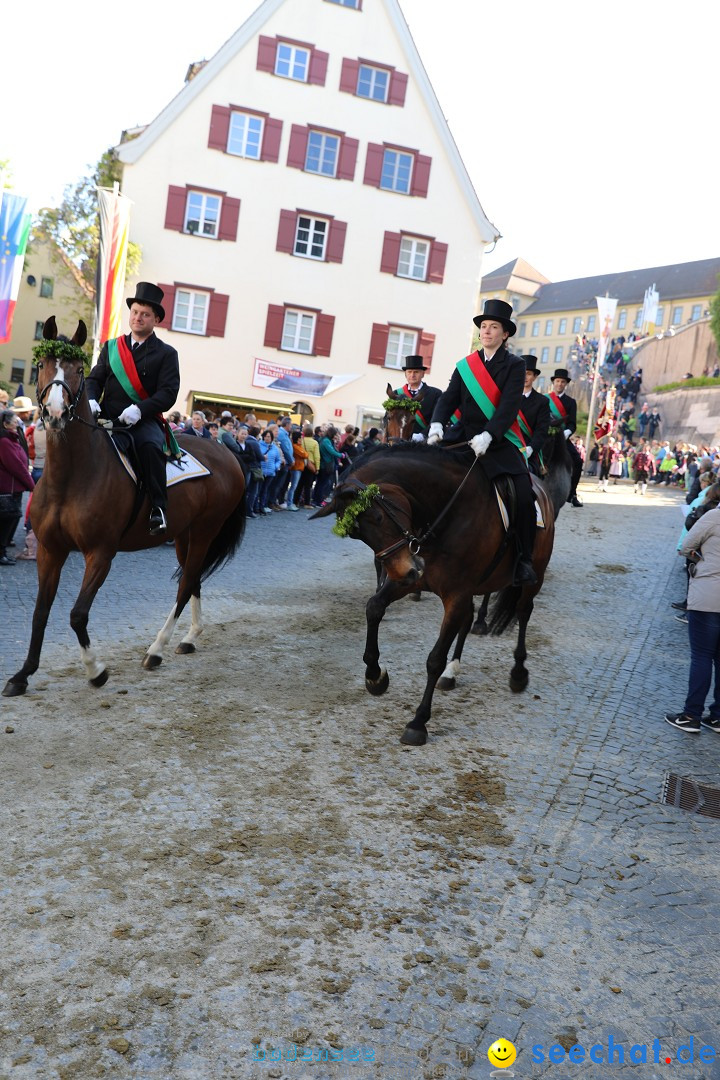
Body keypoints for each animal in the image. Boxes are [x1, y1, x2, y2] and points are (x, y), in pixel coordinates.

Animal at [2, 317, 248, 699]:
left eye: (77, 369)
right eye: (42, 365)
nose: (55, 413)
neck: (71, 476)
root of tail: (227, 453)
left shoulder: (100, 553)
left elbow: (77, 614)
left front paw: (96, 670)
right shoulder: (50, 550)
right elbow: (40, 611)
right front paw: (23, 674)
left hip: (206, 531)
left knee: (186, 583)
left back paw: (157, 649)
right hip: (184, 535)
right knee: (193, 579)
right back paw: (190, 638)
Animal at [313, 442, 557, 747]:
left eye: (378, 517)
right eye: (356, 534)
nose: (405, 572)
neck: (445, 510)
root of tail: (541, 486)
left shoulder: (455, 593)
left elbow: (434, 659)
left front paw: (418, 722)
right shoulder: (416, 578)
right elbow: (374, 607)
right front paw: (375, 676)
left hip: (533, 576)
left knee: (523, 612)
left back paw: (518, 672)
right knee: (468, 620)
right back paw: (452, 673)